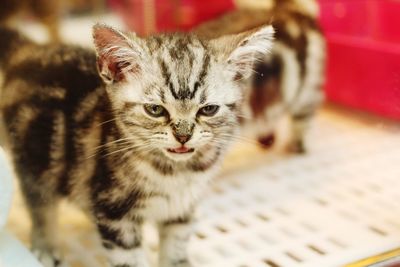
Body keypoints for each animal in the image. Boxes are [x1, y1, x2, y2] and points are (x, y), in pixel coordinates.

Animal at [0, 23, 274, 267]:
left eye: (208, 110)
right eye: (155, 110)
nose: (183, 136)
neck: (175, 173)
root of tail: (31, 51)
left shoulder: (183, 210)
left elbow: (176, 246)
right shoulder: (115, 213)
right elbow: (128, 258)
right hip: (36, 159)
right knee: (40, 203)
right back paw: (46, 245)